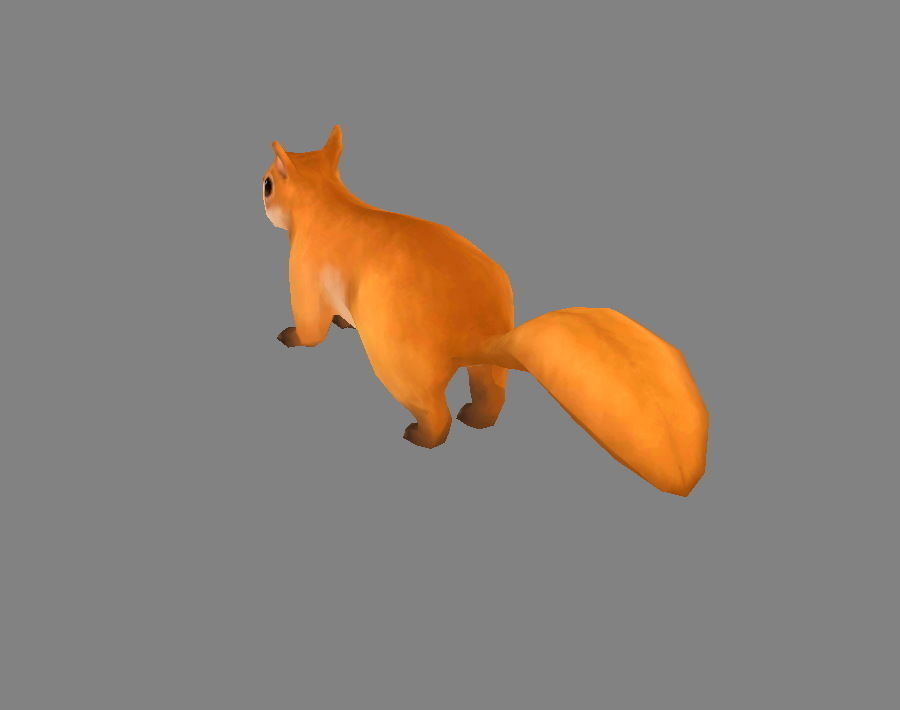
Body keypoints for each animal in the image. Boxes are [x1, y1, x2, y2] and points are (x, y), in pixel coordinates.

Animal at [263, 126, 709, 496]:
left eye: (267, 184)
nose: (259, 196)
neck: (328, 202)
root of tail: (478, 334)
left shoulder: (304, 276)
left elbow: (310, 326)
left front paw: (293, 337)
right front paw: (342, 320)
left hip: (397, 363)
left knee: (434, 412)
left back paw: (421, 436)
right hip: (485, 369)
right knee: (492, 391)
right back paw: (477, 417)